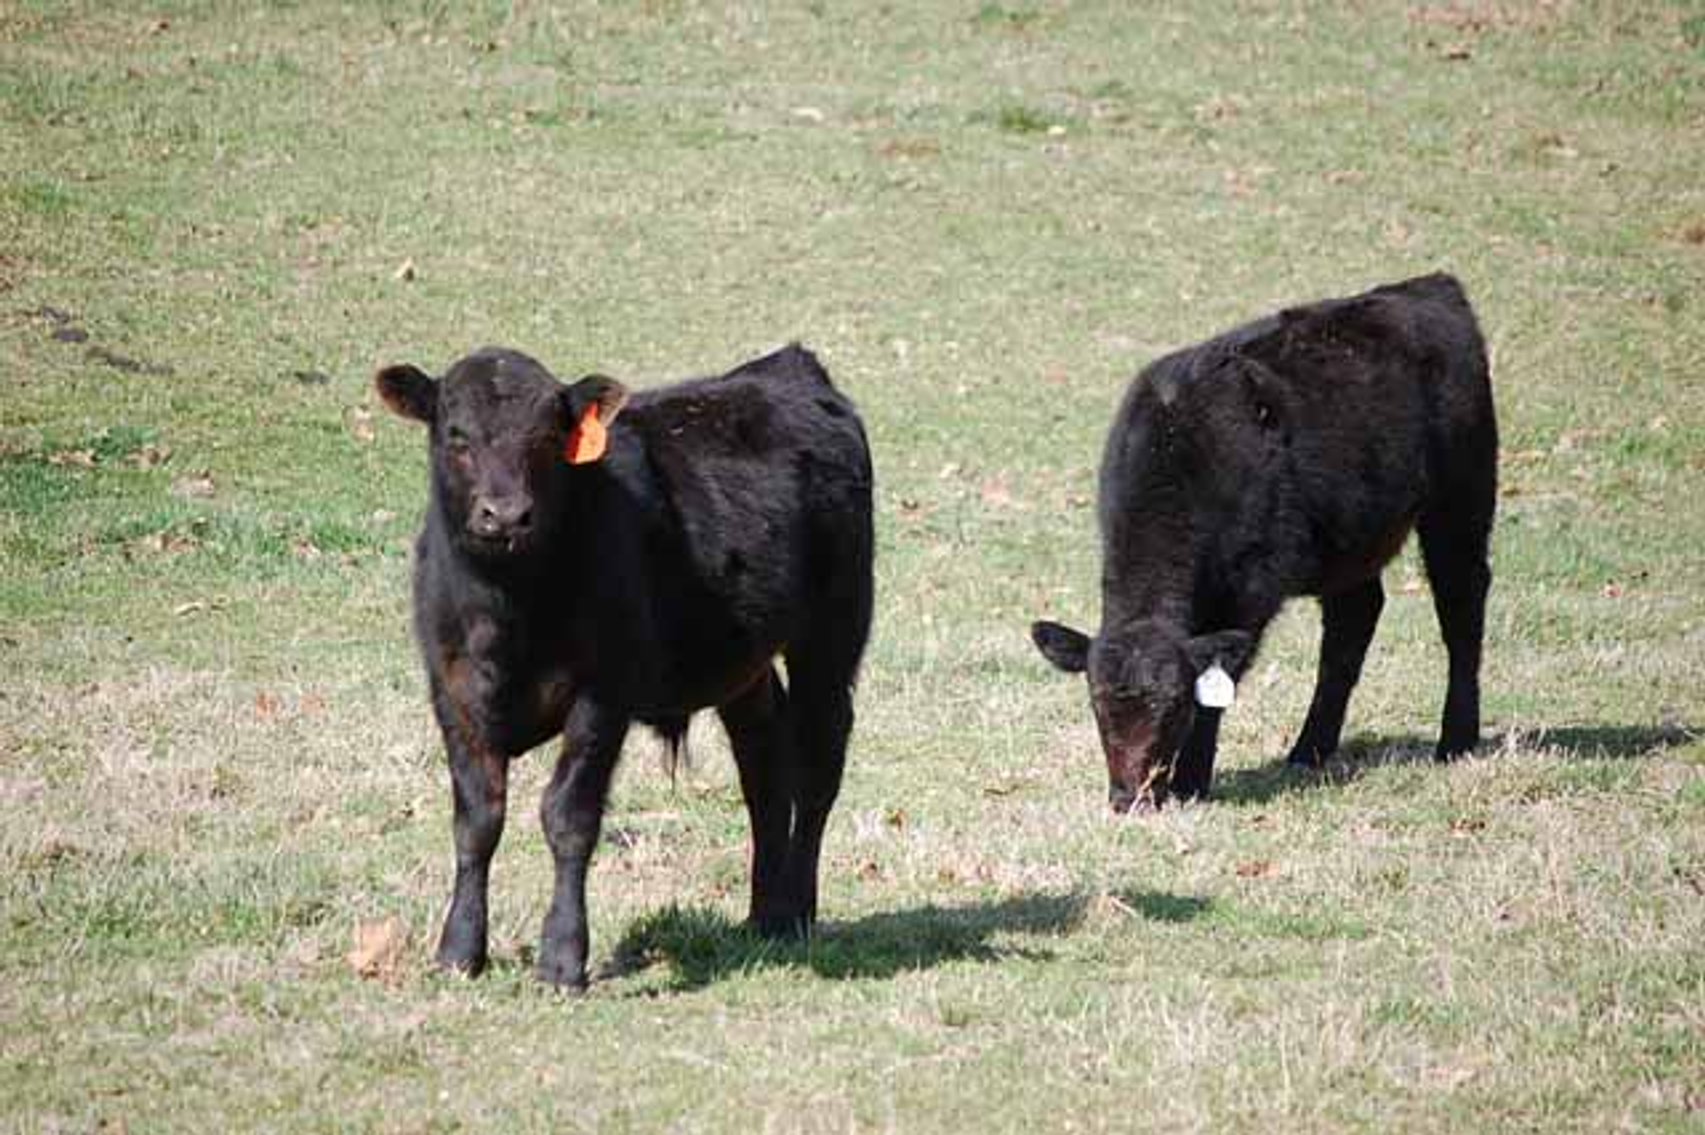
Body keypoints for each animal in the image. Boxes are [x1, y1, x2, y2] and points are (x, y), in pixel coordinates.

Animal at [376, 343, 874, 990]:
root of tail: (789, 366)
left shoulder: (601, 695)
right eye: (456, 434)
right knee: (765, 767)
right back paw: (763, 914)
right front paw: (460, 949)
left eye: (548, 435)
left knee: (817, 765)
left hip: (834, 632)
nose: (505, 516)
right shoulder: (452, 693)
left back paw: (796, 911)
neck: (508, 611)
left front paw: (563, 957)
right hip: (743, 665)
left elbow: (568, 815)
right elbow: (478, 820)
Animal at [1030, 273, 1497, 812]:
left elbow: (1219, 690)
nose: (1131, 799)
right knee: (1353, 621)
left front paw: (1191, 782)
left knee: (1461, 605)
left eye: (1174, 708)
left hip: (1462, 497)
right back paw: (1309, 750)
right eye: (1098, 705)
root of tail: (1428, 286)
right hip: (1349, 541)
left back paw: (1456, 740)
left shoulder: (1250, 588)